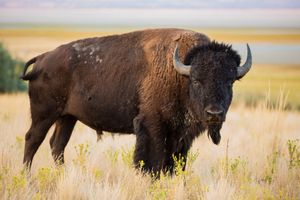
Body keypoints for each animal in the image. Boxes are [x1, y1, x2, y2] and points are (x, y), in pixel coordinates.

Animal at [21, 27, 251, 173]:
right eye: (196, 80)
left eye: (230, 81)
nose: (215, 113)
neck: (180, 74)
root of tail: (42, 58)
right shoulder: (152, 126)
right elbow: (153, 163)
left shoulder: (181, 136)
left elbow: (174, 165)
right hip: (44, 115)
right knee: (33, 140)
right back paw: (26, 177)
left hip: (67, 118)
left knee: (57, 145)